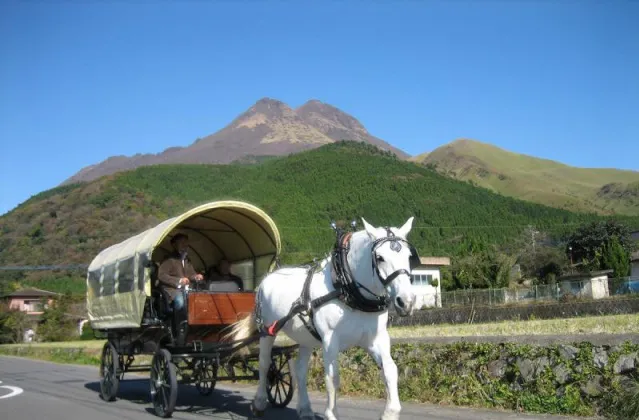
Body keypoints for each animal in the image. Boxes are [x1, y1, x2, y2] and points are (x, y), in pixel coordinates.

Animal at [225, 217, 420, 420]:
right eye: (380, 258)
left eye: (409, 256)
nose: (406, 301)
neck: (346, 288)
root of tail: (266, 279)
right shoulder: (330, 340)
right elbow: (332, 378)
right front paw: (331, 414)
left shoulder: (377, 338)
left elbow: (390, 370)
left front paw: (391, 412)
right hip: (267, 330)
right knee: (264, 364)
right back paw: (259, 403)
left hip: (305, 337)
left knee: (300, 370)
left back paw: (305, 409)